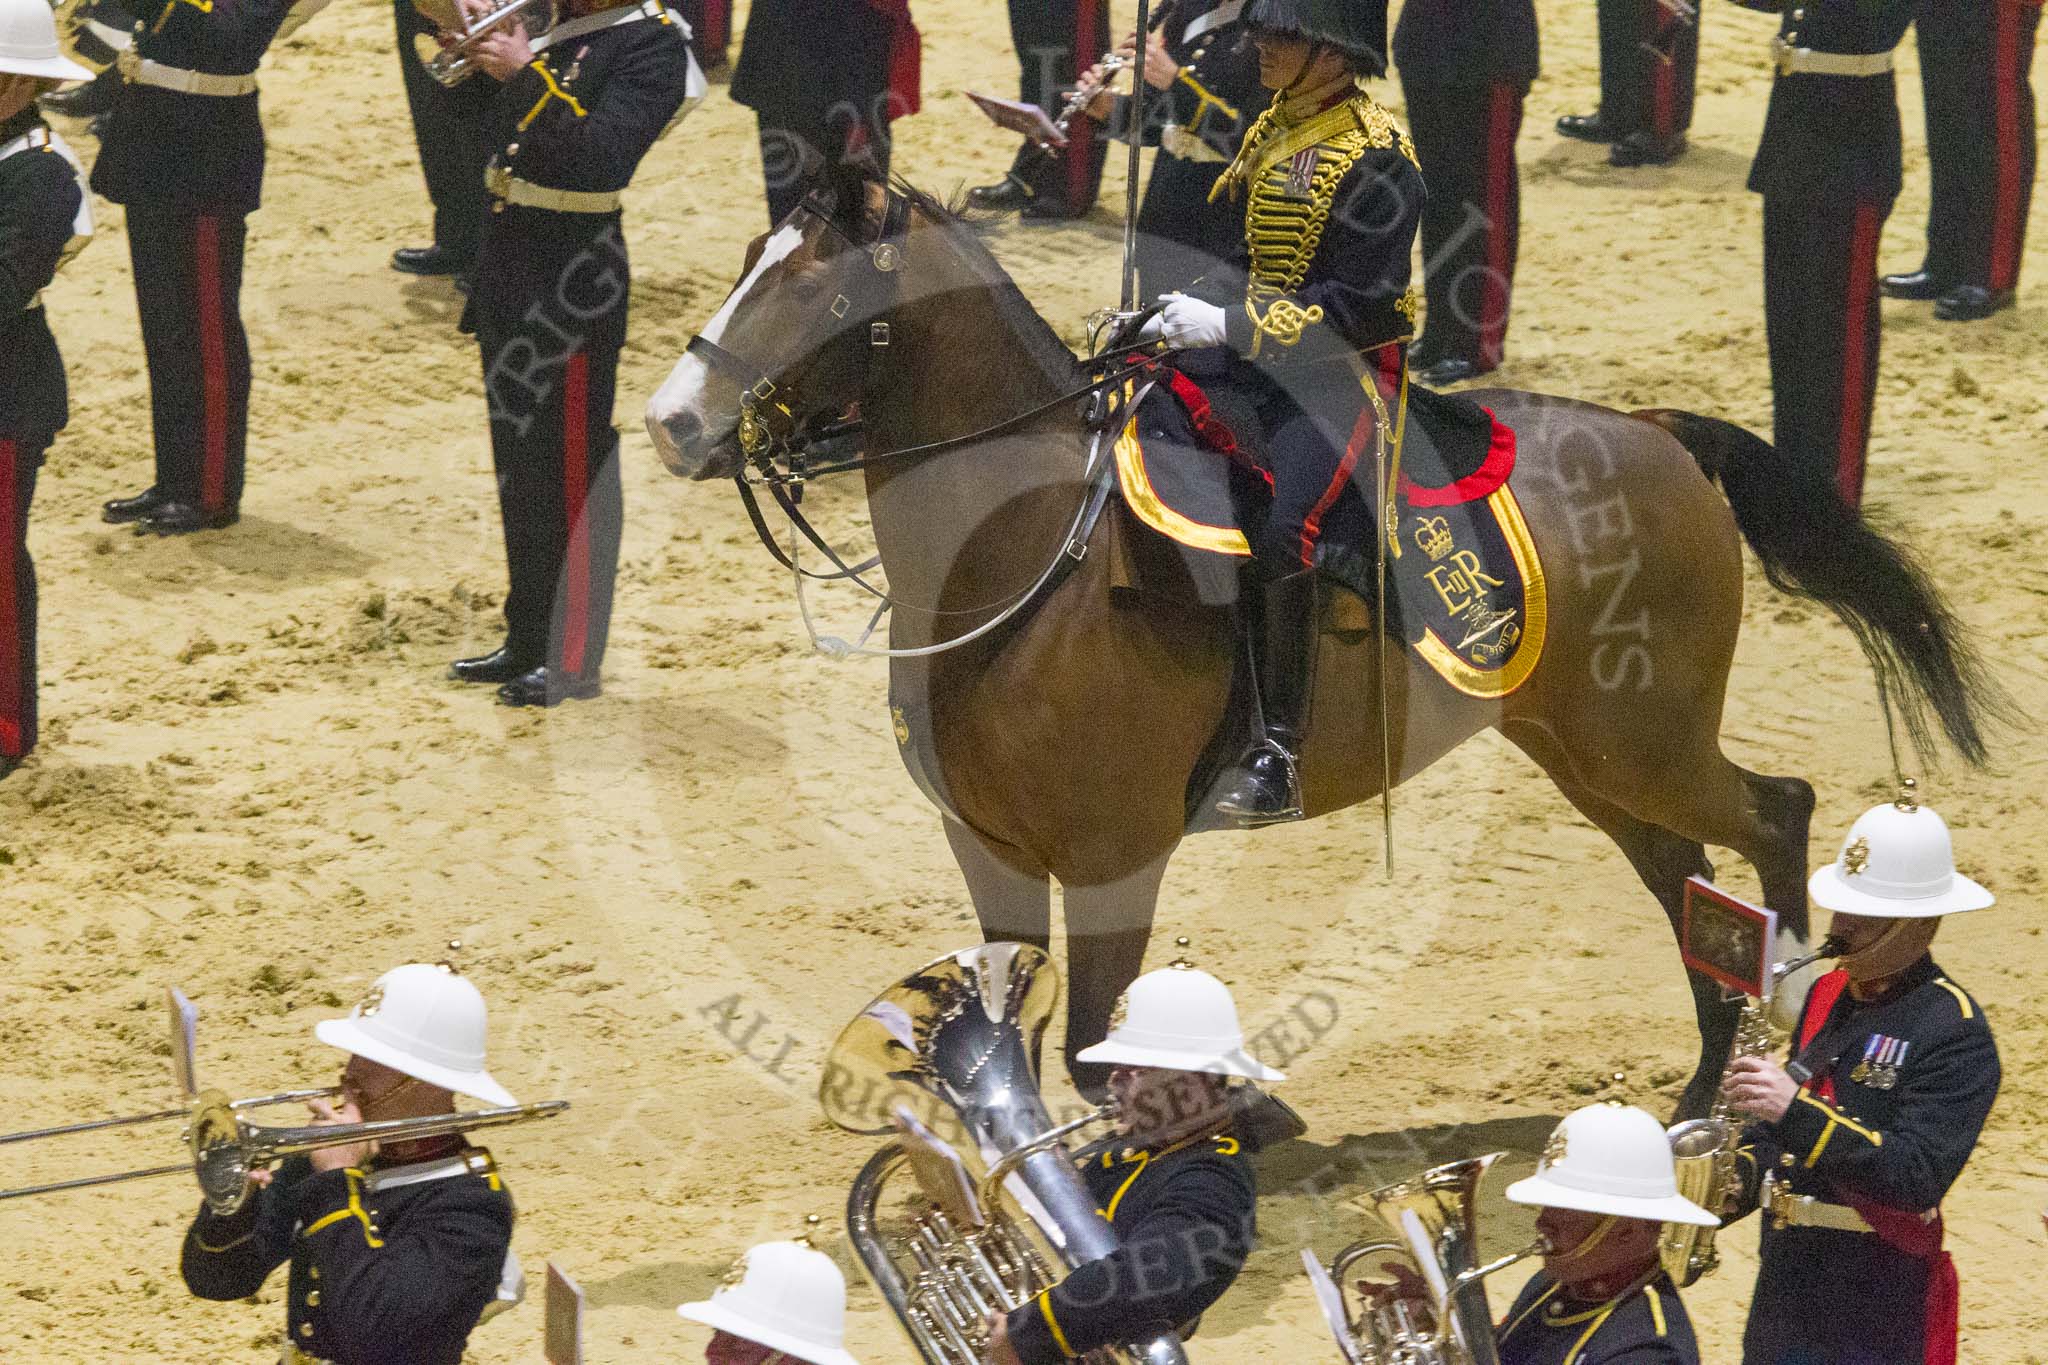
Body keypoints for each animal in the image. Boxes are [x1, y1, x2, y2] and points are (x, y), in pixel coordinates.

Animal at [651, 181, 1998, 1121]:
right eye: (747, 267)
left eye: (820, 297)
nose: (671, 421)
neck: (1028, 553)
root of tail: (1658, 433)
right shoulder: (989, 851)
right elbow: (1016, 1042)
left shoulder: (1112, 853)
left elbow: (1089, 1050)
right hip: (1589, 757)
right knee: (1686, 880)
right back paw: (1703, 1089)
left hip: (1647, 742)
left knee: (1775, 813)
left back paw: (1786, 1021)